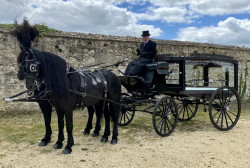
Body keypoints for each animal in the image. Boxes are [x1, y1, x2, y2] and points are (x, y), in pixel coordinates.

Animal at [12, 19, 121, 154]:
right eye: (20, 63)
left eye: (32, 66)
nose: (30, 85)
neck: (64, 83)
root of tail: (113, 75)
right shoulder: (58, 108)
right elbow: (59, 124)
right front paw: (58, 142)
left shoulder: (67, 109)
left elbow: (69, 126)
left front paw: (68, 146)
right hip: (101, 101)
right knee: (105, 115)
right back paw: (104, 135)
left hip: (114, 100)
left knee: (114, 116)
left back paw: (114, 137)